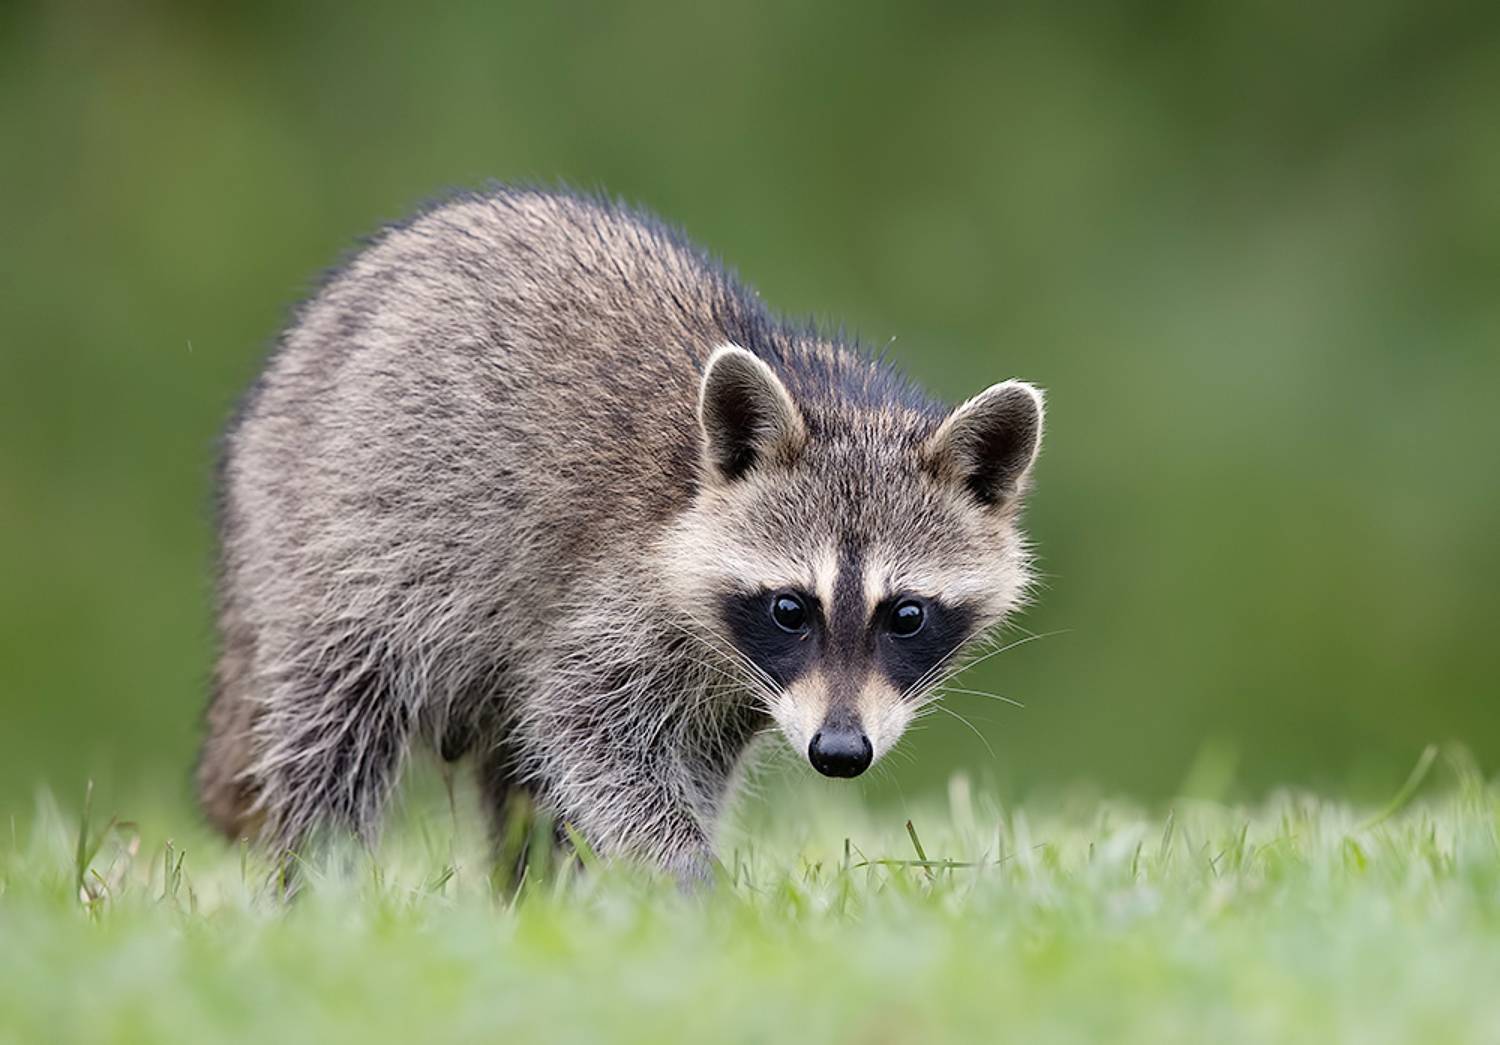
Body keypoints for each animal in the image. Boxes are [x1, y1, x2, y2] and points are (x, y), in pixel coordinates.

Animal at [197, 186, 1045, 884]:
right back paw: (320, 879)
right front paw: (684, 872)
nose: (839, 754)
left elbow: (669, 766)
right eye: (789, 608)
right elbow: (588, 732)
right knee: (337, 722)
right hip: (338, 537)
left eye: (906, 614)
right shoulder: (614, 598)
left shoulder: (740, 698)